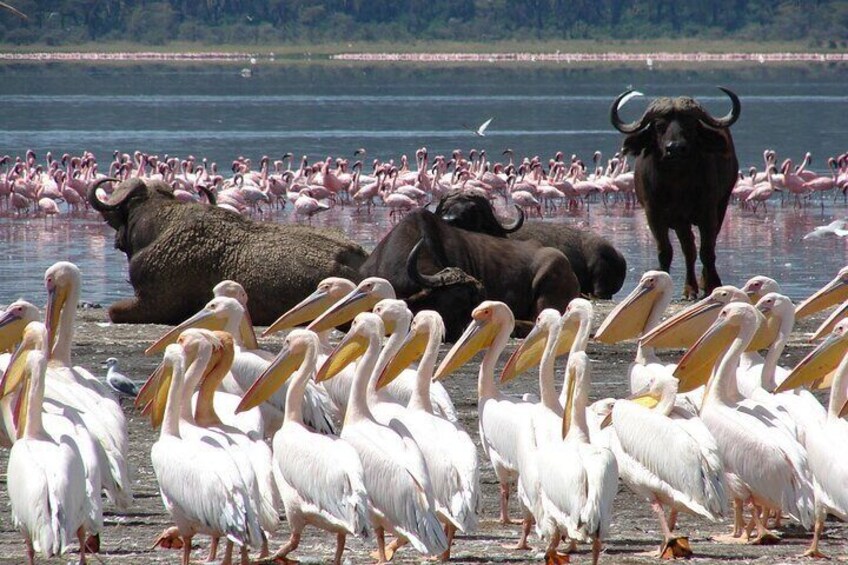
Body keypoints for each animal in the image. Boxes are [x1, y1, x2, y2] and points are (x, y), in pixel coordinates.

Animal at [611, 87, 741, 298]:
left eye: (689, 124)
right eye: (659, 125)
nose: (675, 148)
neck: (677, 183)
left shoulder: (708, 212)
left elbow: (707, 250)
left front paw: (712, 284)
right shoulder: (654, 214)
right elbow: (666, 251)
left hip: (722, 204)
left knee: (706, 245)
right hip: (681, 223)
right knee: (688, 249)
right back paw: (690, 288)